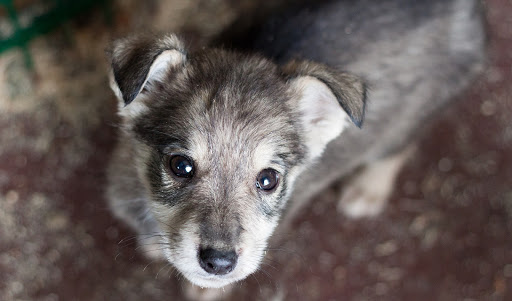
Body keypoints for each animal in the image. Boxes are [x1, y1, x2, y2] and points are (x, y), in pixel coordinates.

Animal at [105, 0, 484, 296]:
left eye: (268, 179)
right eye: (180, 165)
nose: (219, 262)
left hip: (413, 116)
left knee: (399, 147)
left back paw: (367, 190)